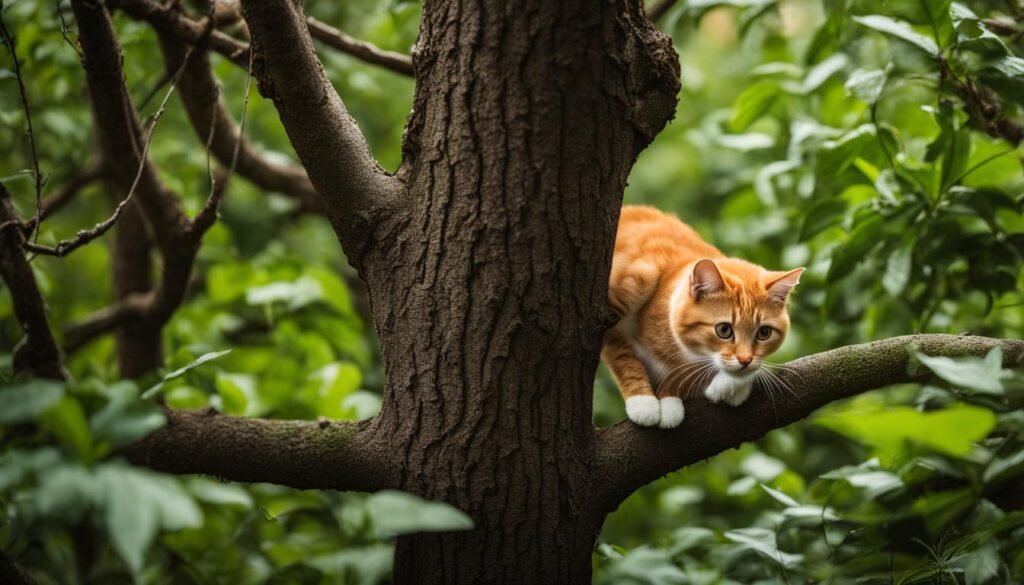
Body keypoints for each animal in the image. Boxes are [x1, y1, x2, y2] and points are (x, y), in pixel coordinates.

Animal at [602, 205, 802, 430]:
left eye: (764, 333)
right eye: (724, 330)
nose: (745, 360)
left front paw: (729, 385)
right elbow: (622, 353)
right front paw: (646, 402)